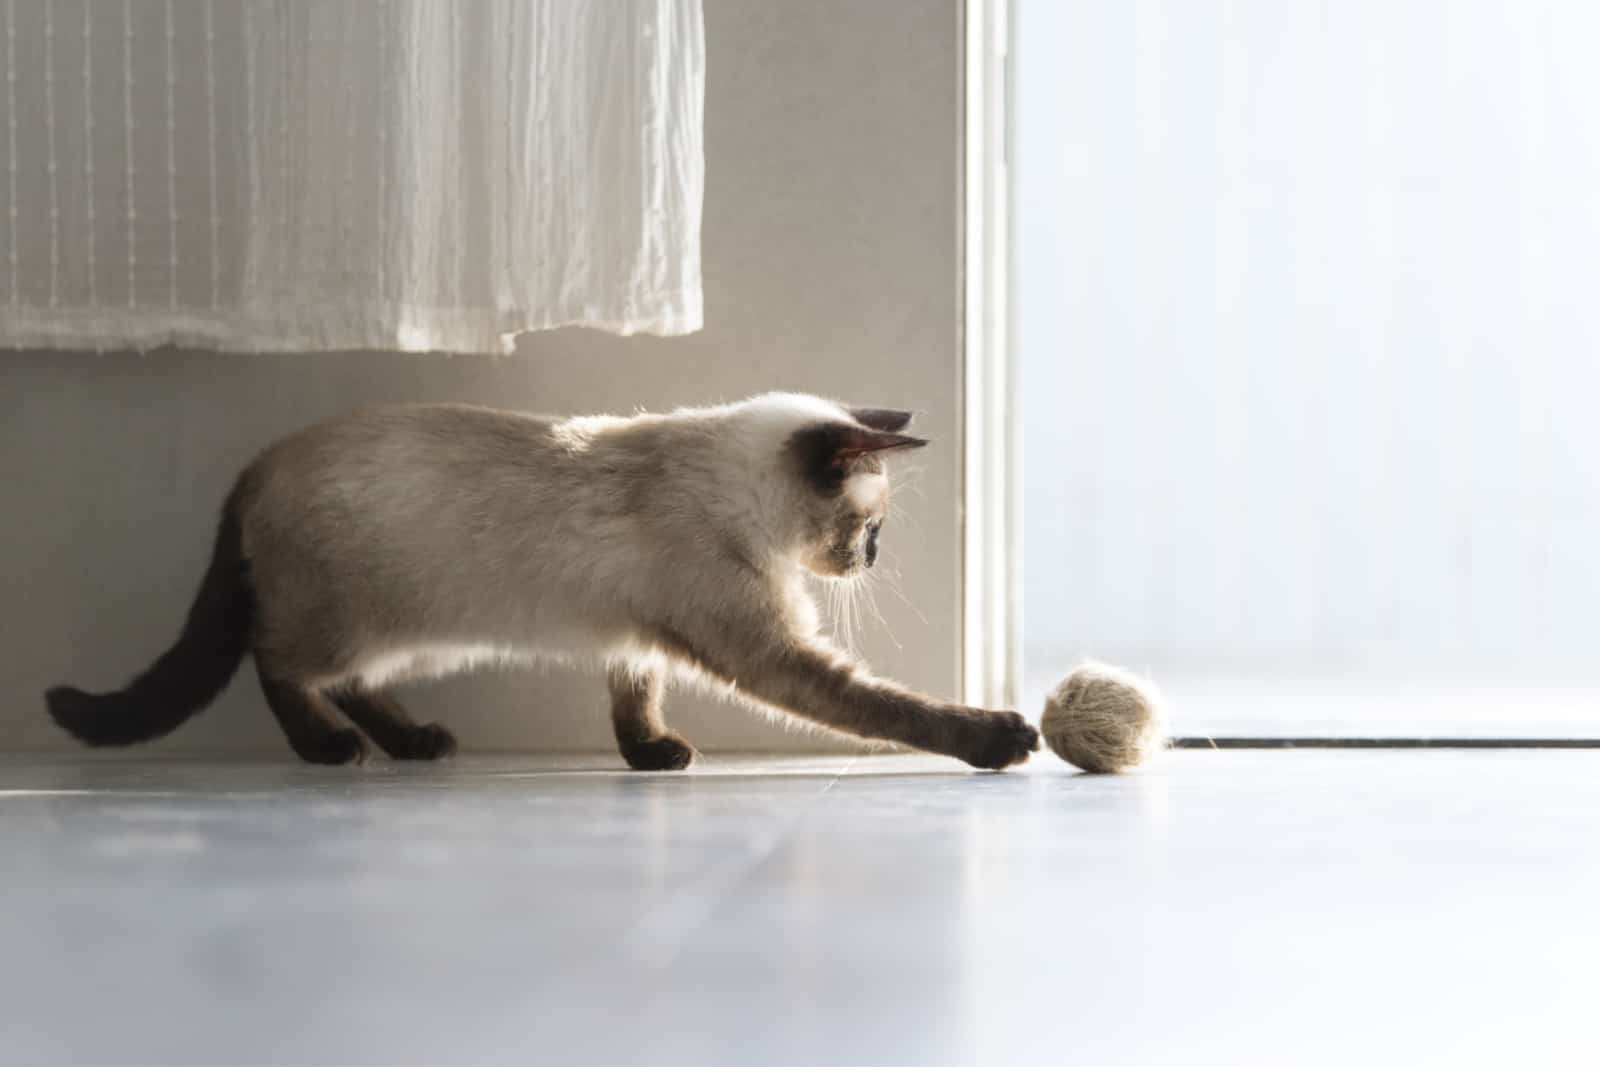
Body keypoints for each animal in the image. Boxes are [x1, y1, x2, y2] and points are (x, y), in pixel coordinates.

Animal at [46, 391, 1036, 767]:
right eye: (872, 527)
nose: (869, 560)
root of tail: (255, 465)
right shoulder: (767, 646)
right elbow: (889, 708)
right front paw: (999, 737)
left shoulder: (641, 638)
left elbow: (634, 700)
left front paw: (653, 758)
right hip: (359, 621)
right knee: (278, 662)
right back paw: (332, 750)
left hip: (408, 637)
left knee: (351, 680)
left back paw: (415, 743)